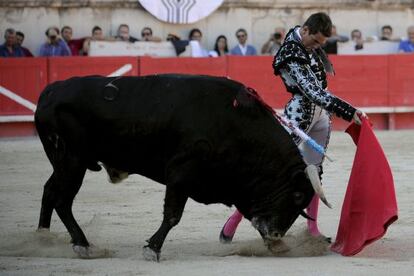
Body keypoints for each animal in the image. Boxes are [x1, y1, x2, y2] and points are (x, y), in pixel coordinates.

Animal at [34, 74, 316, 260]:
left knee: (49, 191)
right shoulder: (181, 172)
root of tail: (50, 91)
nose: (276, 237)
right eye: (297, 196)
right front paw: (153, 249)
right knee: (62, 200)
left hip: (63, 163)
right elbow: (172, 214)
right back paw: (83, 245)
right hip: (72, 161)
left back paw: (43, 238)